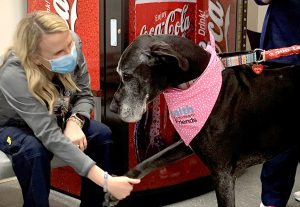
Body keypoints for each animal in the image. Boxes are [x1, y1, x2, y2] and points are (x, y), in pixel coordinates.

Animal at [109, 34, 298, 206]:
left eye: (127, 75)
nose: (112, 108)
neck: (195, 83)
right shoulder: (189, 141)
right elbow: (151, 160)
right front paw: (118, 186)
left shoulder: (223, 175)